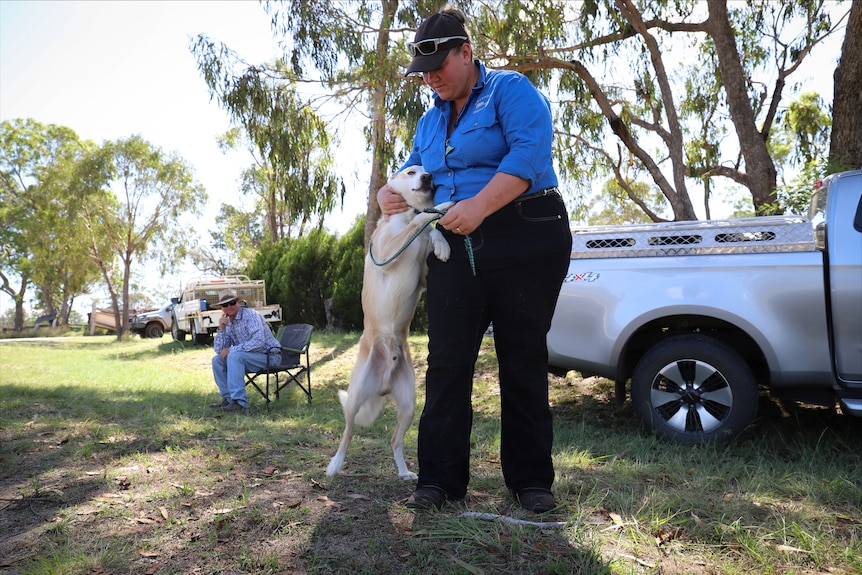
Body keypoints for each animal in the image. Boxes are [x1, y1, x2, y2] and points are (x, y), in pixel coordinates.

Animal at [328, 166, 456, 482]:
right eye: (411, 171)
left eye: (427, 172)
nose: (428, 177)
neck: (406, 215)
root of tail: (382, 385)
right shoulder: (386, 254)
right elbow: (424, 221)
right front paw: (442, 209)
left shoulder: (423, 278)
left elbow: (431, 232)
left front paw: (442, 244)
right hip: (355, 398)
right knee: (348, 433)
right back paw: (335, 465)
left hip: (410, 405)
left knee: (394, 440)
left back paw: (404, 472)